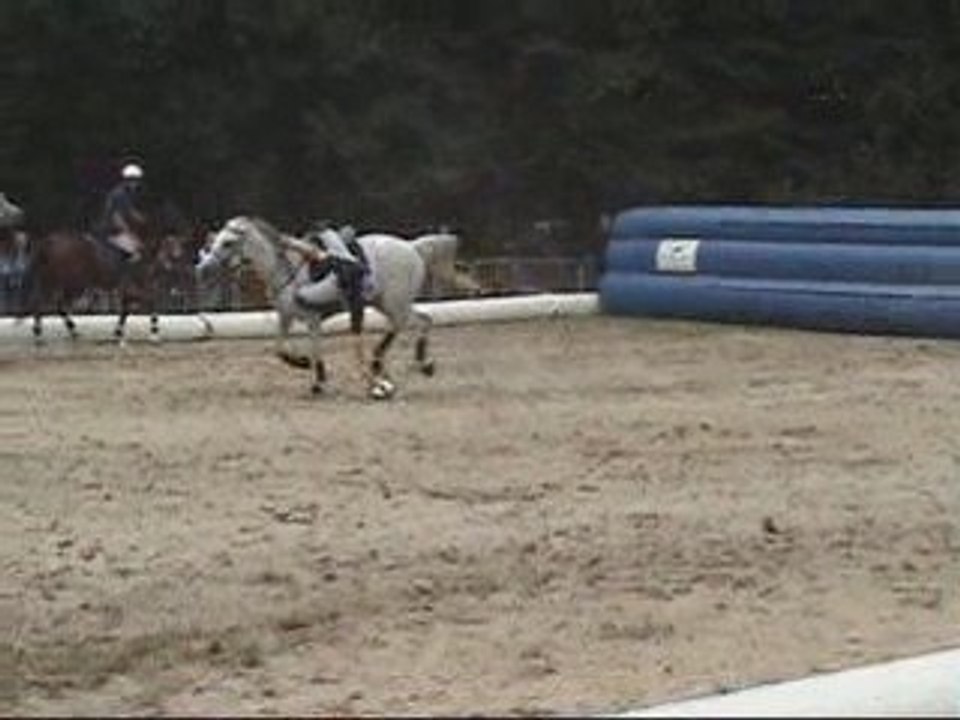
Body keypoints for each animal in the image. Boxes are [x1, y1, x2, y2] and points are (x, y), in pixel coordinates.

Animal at [195, 216, 460, 399]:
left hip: (394, 303)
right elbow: (279, 348)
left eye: (228, 243)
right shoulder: (286, 316)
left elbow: (314, 349)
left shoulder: (312, 319)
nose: (202, 270)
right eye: (215, 241)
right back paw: (422, 364)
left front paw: (317, 380)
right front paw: (304, 366)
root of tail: (412, 247)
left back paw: (382, 366)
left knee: (403, 325)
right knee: (423, 319)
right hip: (389, 303)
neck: (288, 270)